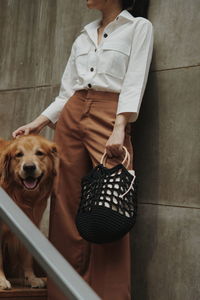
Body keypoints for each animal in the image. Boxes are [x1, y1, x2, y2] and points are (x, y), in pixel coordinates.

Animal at [0, 135, 57, 290]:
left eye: (39, 153)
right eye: (18, 155)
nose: (29, 167)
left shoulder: (32, 221)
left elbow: (27, 256)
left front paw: (31, 278)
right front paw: (1, 280)